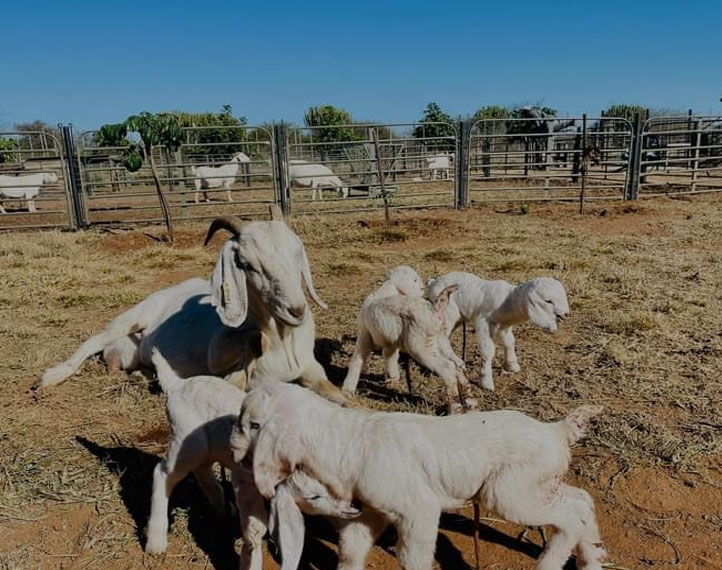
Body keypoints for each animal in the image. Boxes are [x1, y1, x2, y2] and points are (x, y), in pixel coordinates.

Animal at [234, 381, 607, 570]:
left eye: (253, 424)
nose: (233, 446)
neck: (344, 439)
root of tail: (555, 431)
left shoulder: (418, 509)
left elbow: (412, 557)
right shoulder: (370, 510)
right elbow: (351, 549)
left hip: (509, 491)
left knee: (568, 515)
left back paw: (550, 563)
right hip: (536, 484)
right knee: (581, 501)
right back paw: (592, 558)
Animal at [426, 273, 569, 391]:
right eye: (548, 301)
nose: (566, 314)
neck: (508, 301)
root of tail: (433, 282)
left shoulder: (504, 326)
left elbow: (510, 342)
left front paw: (513, 365)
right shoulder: (483, 322)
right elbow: (488, 351)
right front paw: (486, 382)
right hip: (446, 312)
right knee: (440, 338)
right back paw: (457, 363)